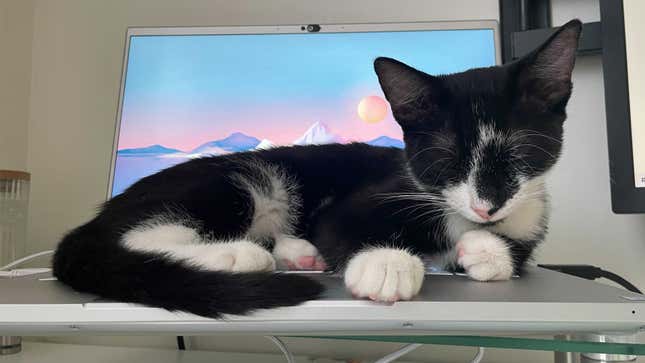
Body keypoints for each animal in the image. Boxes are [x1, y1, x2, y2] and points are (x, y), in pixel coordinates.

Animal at [52, 19, 580, 318]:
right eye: (446, 156)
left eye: (520, 150)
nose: (487, 204)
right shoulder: (368, 196)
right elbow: (343, 225)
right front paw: (386, 263)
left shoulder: (528, 214)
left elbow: (512, 251)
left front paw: (487, 250)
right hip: (234, 182)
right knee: (142, 236)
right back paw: (239, 255)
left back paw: (296, 252)